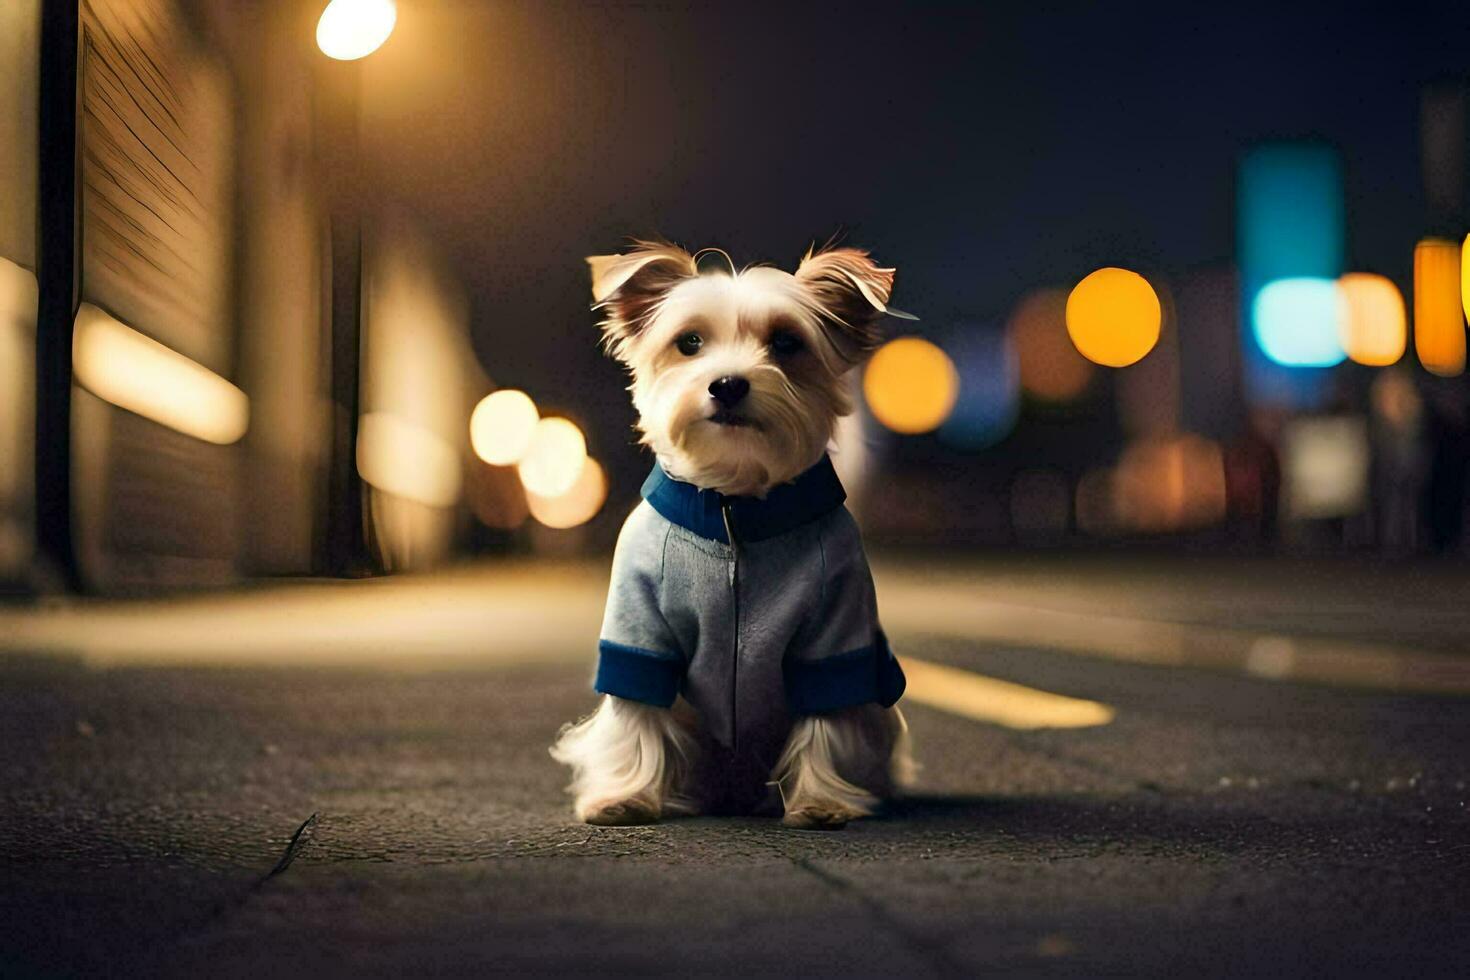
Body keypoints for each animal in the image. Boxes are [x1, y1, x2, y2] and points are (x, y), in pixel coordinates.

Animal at [552, 239, 917, 828]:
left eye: (787, 342)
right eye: (689, 342)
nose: (727, 384)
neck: (734, 510)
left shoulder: (835, 637)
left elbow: (826, 723)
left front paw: (820, 801)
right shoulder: (638, 633)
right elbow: (636, 716)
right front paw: (624, 797)